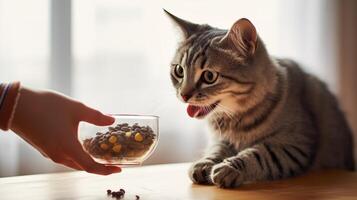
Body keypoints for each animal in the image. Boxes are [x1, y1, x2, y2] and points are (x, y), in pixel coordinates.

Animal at [164, 9, 354, 188]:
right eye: (179, 71)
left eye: (209, 76)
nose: (184, 95)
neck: (234, 121)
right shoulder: (221, 140)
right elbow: (217, 149)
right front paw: (205, 163)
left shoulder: (296, 144)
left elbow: (259, 154)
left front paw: (229, 168)